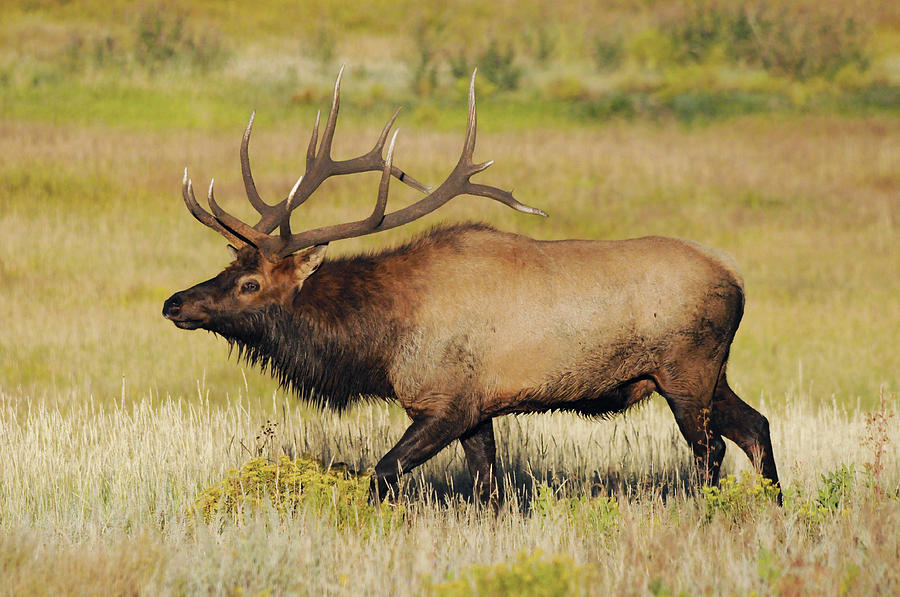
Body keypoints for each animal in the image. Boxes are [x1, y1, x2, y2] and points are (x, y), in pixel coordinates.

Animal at [163, 68, 780, 498]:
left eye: (250, 283)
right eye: (228, 268)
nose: (174, 303)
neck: (382, 341)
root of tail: (737, 277)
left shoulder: (446, 402)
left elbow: (382, 474)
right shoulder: (481, 410)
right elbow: (490, 490)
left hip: (686, 372)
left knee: (711, 451)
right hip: (708, 373)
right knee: (757, 426)